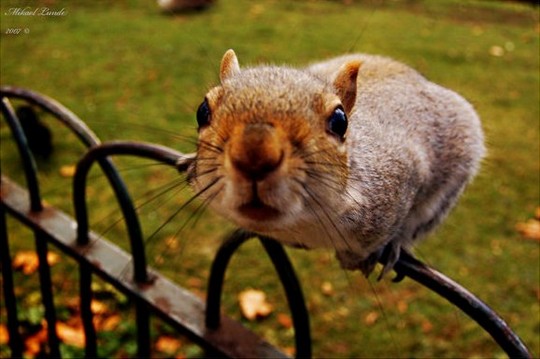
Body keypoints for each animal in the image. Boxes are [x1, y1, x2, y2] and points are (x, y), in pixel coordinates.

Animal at [189, 49, 486, 278]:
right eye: (202, 111)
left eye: (340, 121)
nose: (254, 155)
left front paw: (383, 247)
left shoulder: (404, 172)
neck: (299, 225)